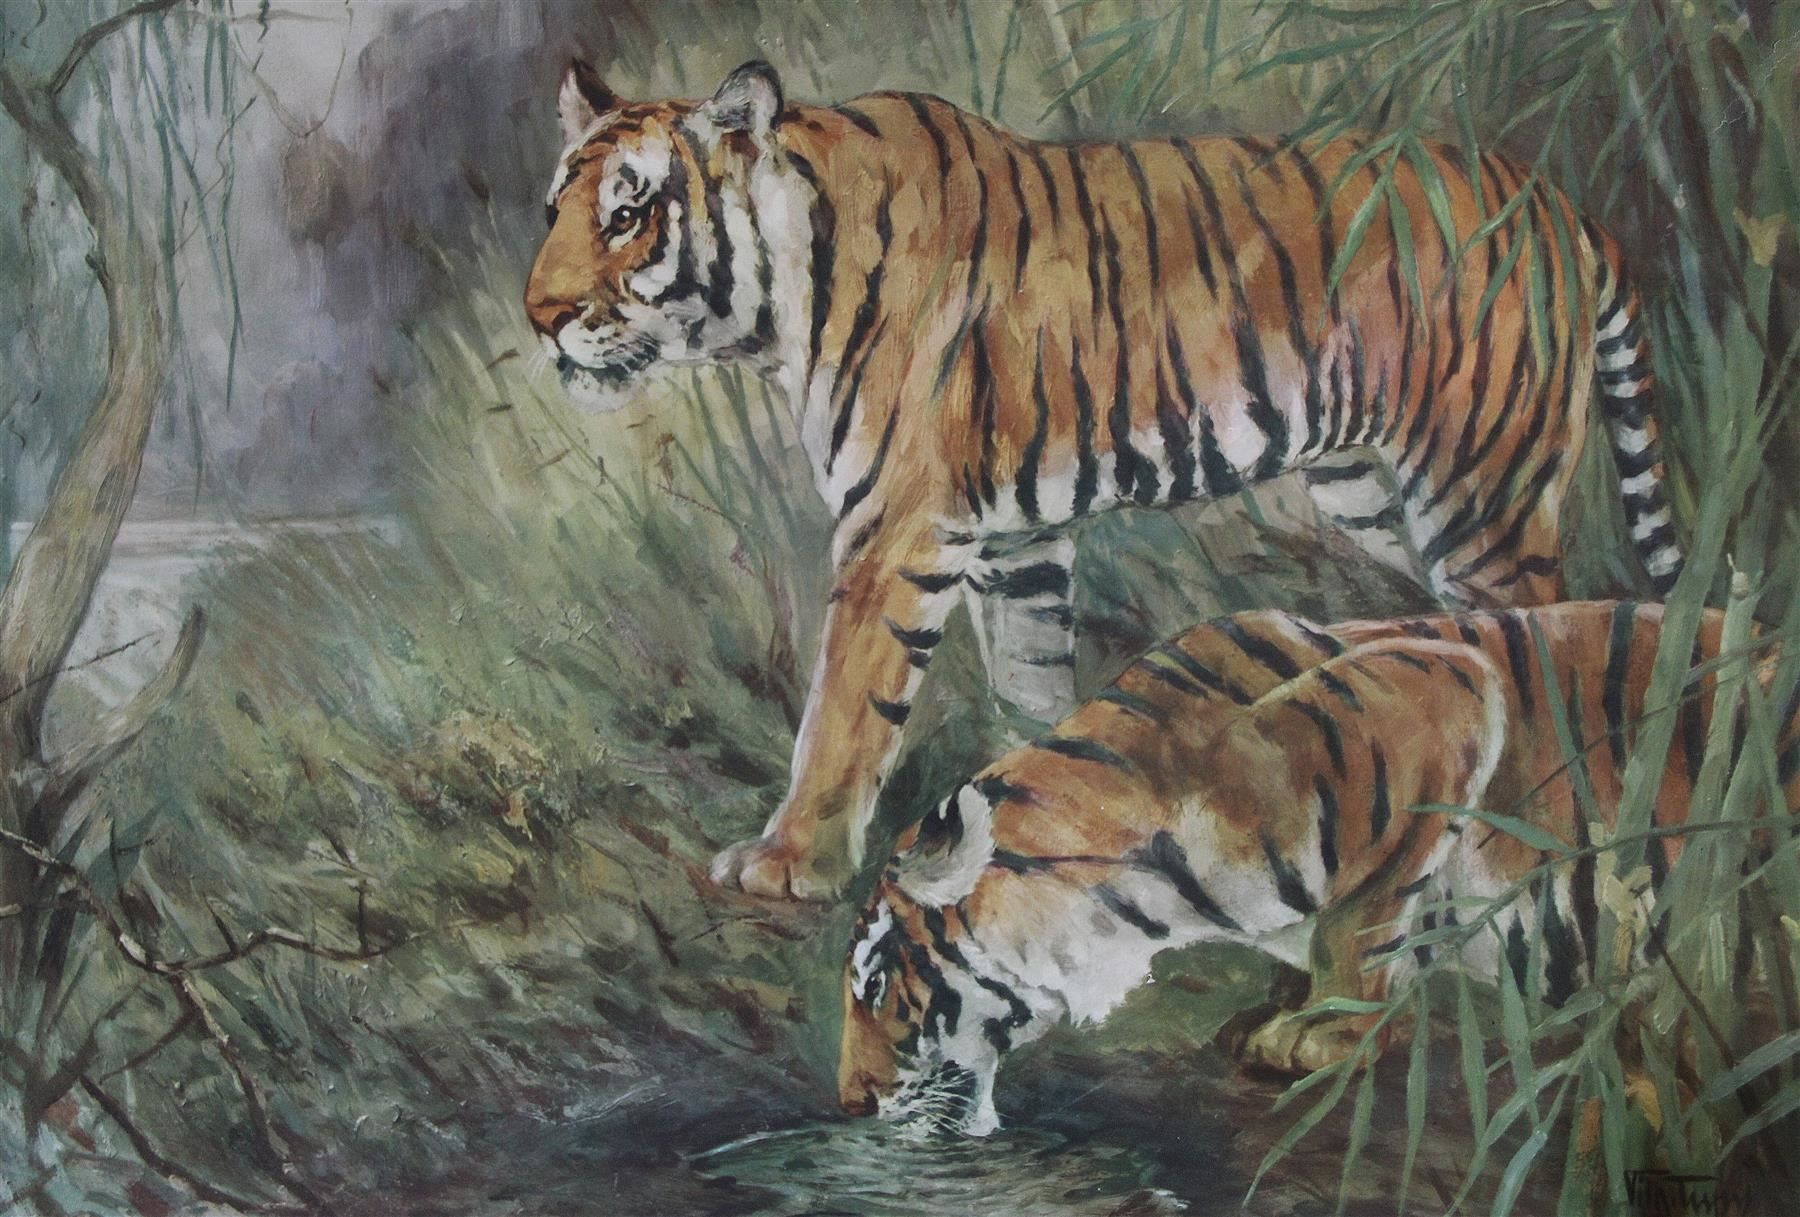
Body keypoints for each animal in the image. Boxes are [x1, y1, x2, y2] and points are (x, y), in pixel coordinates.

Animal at [525, 60, 1685, 901]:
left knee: (1553, 641)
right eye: (555, 210)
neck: (778, 304)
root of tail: (1555, 200)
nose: (539, 318)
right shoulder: (1015, 544)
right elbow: (1031, 692)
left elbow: (845, 708)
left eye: (628, 214)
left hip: (1479, 496)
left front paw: (785, 861)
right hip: (1376, 492)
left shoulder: (896, 528)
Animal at [838, 602, 1798, 1134]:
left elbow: (1361, 917)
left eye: (878, 987)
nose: (849, 1102)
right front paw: (1275, 1012)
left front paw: (1324, 1032)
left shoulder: (1447, 692)